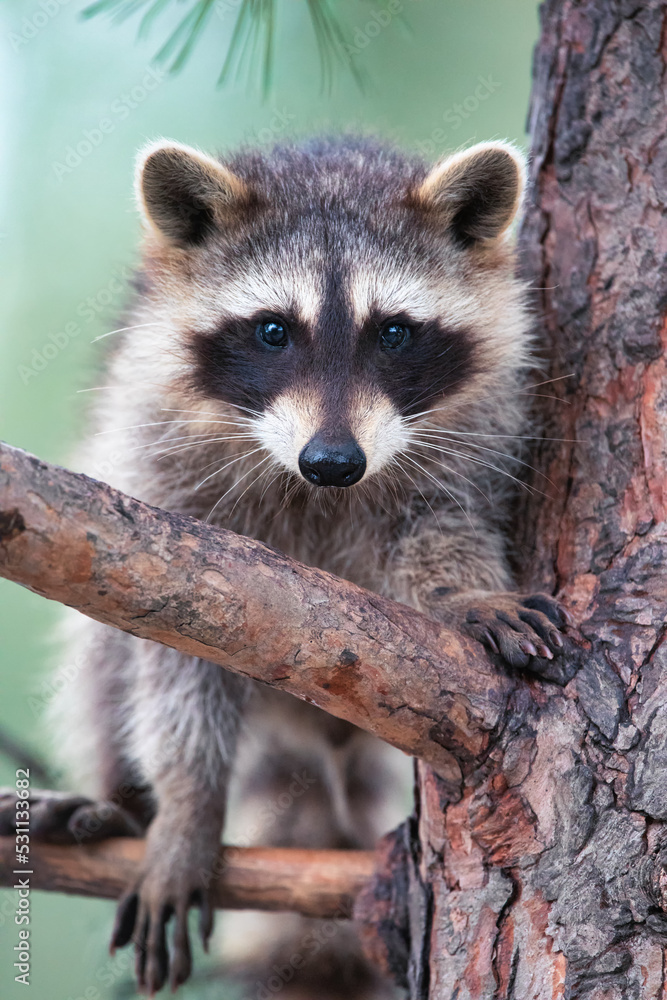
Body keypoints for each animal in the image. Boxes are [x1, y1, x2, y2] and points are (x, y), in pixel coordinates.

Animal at [26, 137, 568, 996]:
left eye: (394, 332)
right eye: (273, 330)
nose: (333, 461)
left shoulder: (478, 430)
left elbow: (441, 527)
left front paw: (468, 592)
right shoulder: (162, 475)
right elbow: (174, 654)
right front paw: (187, 805)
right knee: (103, 658)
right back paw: (124, 800)